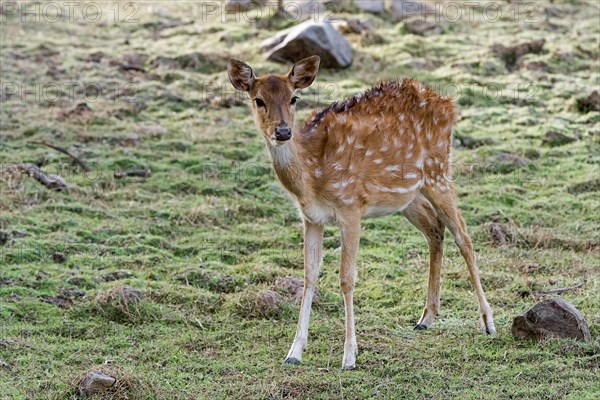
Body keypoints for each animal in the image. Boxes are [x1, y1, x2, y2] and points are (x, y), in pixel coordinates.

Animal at [227, 55, 494, 368]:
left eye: (294, 97)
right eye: (258, 100)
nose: (282, 131)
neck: (312, 175)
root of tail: (449, 104)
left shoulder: (350, 207)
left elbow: (347, 278)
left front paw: (349, 356)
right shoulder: (311, 217)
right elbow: (309, 276)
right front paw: (294, 352)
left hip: (438, 171)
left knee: (463, 235)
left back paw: (488, 322)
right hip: (407, 196)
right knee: (435, 229)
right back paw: (426, 317)